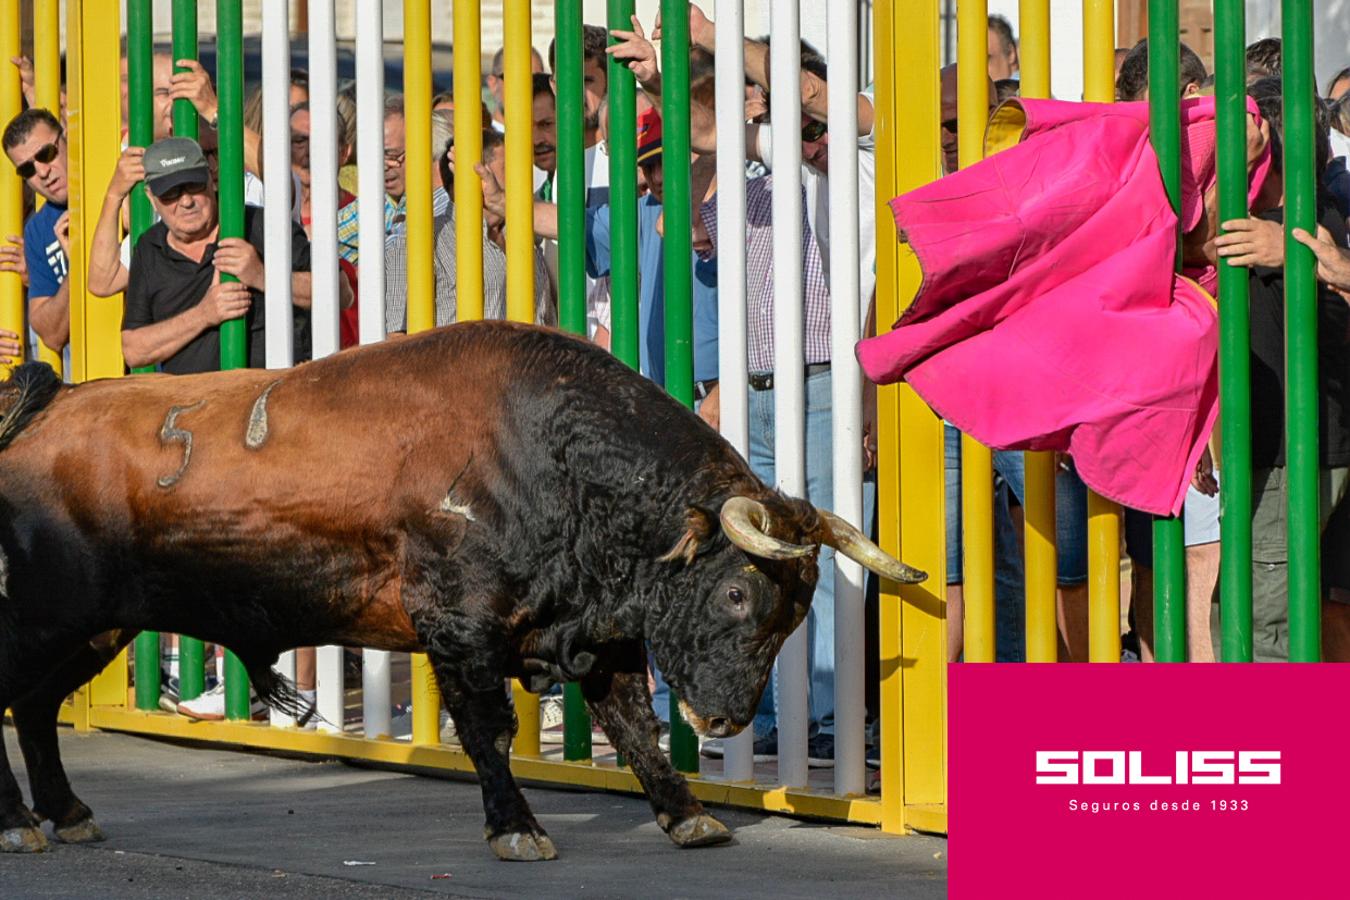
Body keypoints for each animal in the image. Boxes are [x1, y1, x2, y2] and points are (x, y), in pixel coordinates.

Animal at [0, 322, 923, 858]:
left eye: (798, 609)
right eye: (737, 594)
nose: (728, 718)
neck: (553, 457)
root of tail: (48, 407)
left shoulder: (600, 636)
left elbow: (634, 727)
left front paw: (688, 815)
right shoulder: (461, 629)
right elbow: (489, 730)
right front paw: (517, 828)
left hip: (95, 628)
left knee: (36, 707)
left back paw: (68, 812)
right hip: (46, 617)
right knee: (16, 702)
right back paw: (21, 825)